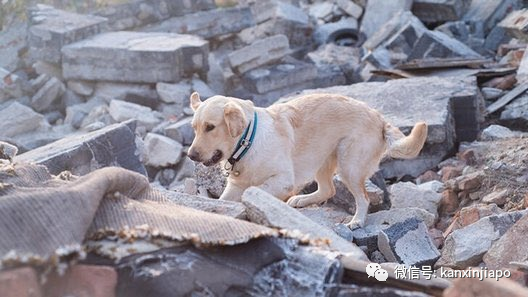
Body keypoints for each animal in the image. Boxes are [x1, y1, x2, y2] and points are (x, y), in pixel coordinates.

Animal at [188, 91, 426, 228]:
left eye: (210, 127)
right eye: (194, 128)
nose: (190, 155)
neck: (248, 141)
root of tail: (379, 118)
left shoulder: (283, 180)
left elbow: (254, 190)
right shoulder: (235, 186)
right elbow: (224, 201)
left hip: (349, 166)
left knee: (363, 198)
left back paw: (357, 220)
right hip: (321, 159)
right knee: (328, 190)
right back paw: (301, 200)